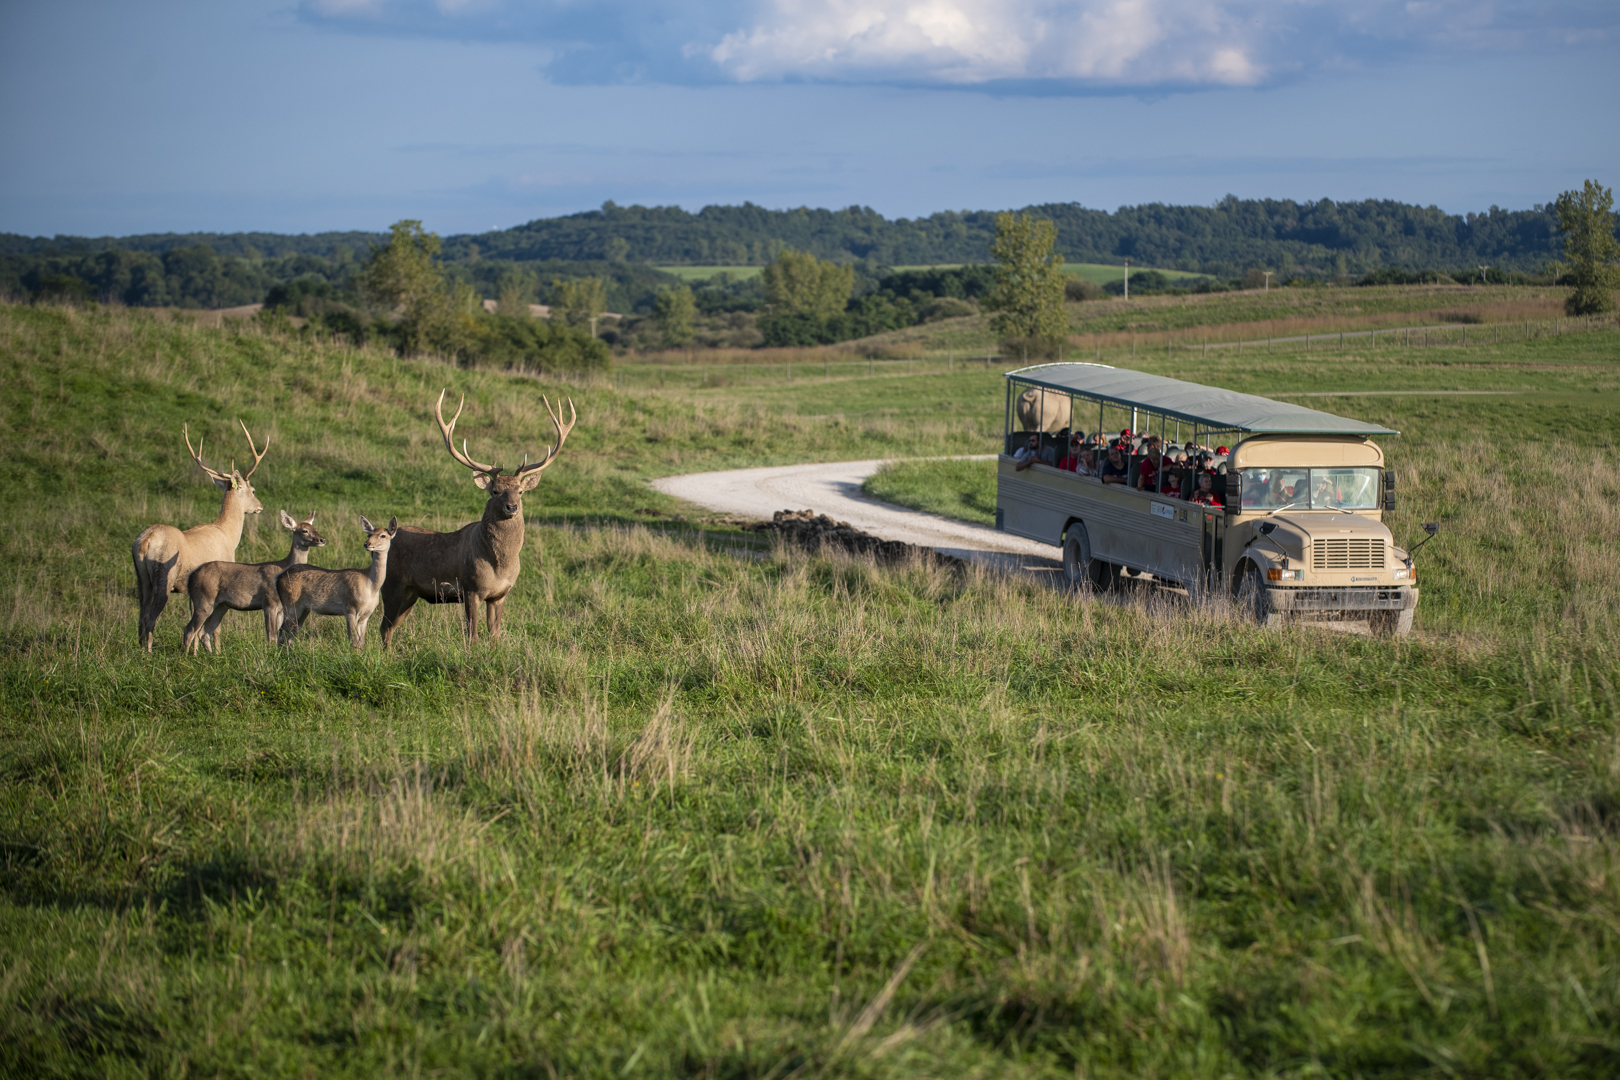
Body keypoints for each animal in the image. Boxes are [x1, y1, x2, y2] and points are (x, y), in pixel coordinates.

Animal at [132, 421, 268, 651]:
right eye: (253, 490)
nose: (260, 507)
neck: (228, 535)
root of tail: (145, 542)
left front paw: (195, 652)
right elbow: (215, 626)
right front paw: (217, 651)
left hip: (141, 578)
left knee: (141, 616)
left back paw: (141, 651)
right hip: (164, 576)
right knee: (150, 617)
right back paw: (149, 653)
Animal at [180, 511, 327, 655]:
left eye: (315, 528)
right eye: (304, 530)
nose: (322, 540)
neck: (283, 567)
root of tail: (191, 577)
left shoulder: (281, 608)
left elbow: (279, 633)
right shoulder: (269, 602)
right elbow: (271, 635)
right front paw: (271, 654)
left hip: (221, 605)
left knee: (204, 632)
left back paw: (212, 656)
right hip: (204, 599)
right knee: (189, 629)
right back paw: (185, 657)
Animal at [276, 516, 399, 649]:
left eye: (383, 535)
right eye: (369, 534)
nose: (367, 544)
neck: (371, 586)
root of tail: (278, 578)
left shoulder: (366, 615)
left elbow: (361, 643)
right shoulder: (350, 608)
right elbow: (353, 642)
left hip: (303, 609)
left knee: (291, 632)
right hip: (290, 604)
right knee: (281, 631)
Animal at [378, 389, 575, 647]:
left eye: (520, 491)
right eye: (495, 491)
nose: (512, 506)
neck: (500, 566)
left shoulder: (500, 595)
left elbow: (495, 634)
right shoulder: (470, 588)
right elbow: (472, 636)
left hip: (411, 593)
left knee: (390, 627)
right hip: (391, 584)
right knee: (383, 626)